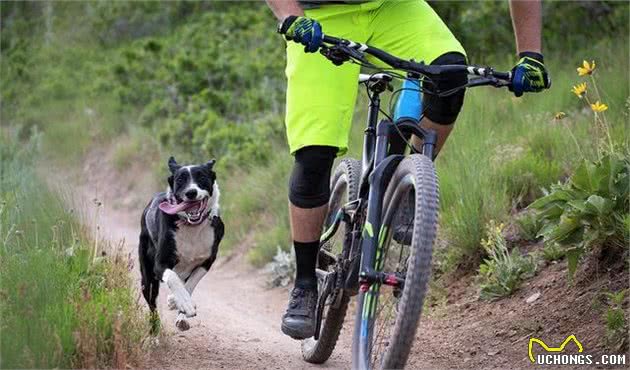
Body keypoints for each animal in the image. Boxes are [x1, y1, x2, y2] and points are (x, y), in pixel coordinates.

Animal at [139, 155, 225, 330]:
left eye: (202, 177)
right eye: (180, 180)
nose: (191, 192)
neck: (192, 227)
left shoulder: (207, 261)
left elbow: (191, 283)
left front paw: (177, 303)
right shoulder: (160, 263)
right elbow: (172, 278)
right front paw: (183, 302)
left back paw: (181, 318)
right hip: (147, 277)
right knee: (152, 302)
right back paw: (154, 330)